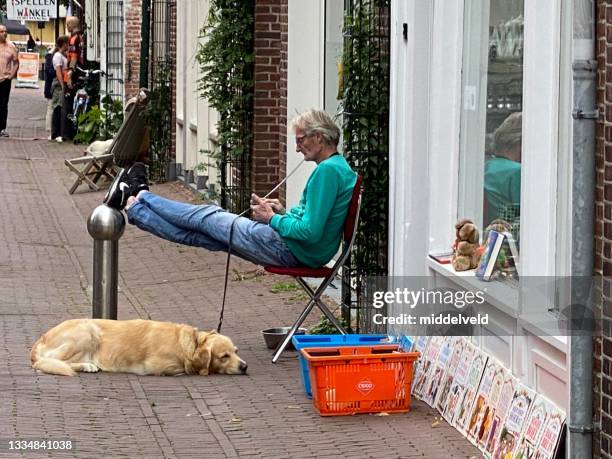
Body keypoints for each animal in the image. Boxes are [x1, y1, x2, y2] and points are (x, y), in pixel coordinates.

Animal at [30, 320, 246, 378]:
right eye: (224, 356)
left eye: (236, 351)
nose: (245, 367)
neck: (191, 344)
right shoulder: (155, 366)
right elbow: (180, 369)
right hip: (87, 331)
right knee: (50, 362)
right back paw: (87, 365)